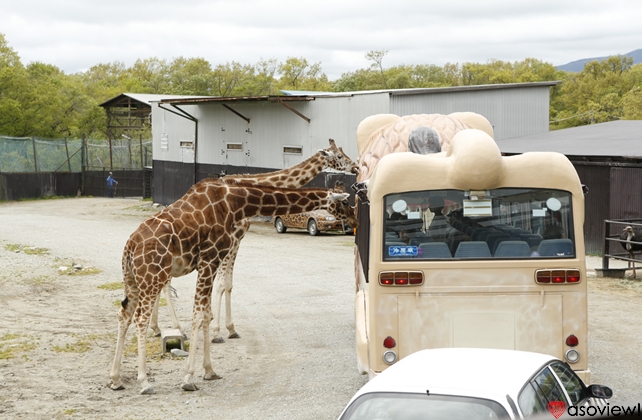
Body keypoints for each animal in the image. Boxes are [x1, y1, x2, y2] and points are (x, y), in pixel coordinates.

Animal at [110, 180, 360, 394]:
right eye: (344, 202)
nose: (354, 219)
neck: (236, 202)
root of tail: (130, 246)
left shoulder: (212, 261)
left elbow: (207, 313)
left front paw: (210, 371)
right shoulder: (209, 259)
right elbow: (199, 315)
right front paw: (189, 378)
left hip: (132, 279)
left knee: (124, 314)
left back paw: (116, 379)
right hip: (153, 276)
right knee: (140, 319)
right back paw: (144, 382)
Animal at [151, 139, 360, 342]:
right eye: (339, 156)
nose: (356, 167)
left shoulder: (237, 240)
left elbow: (228, 284)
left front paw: (228, 328)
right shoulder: (231, 239)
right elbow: (221, 284)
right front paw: (217, 332)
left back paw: (157, 328)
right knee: (165, 282)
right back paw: (177, 328)